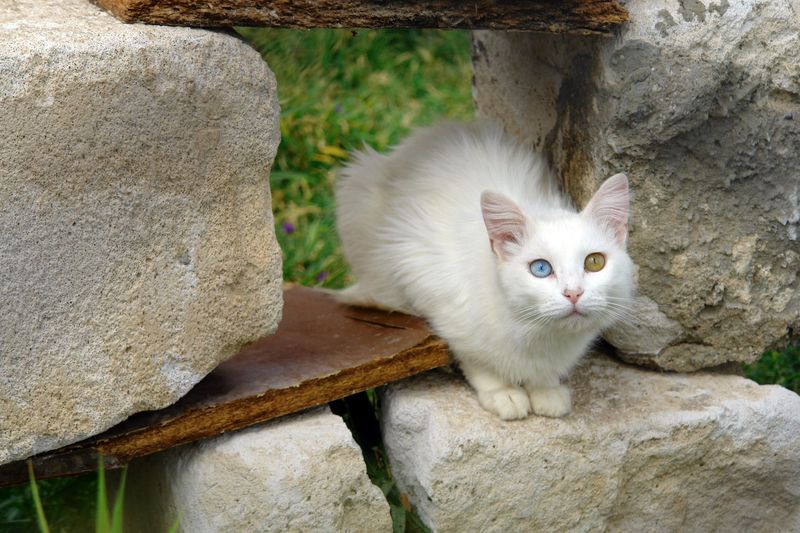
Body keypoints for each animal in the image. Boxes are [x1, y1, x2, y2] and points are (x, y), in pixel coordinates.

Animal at [334, 121, 636, 420]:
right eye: (540, 268)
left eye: (594, 262)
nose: (573, 293)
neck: (539, 333)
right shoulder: (432, 287)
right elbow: (479, 362)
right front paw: (504, 394)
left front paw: (545, 390)